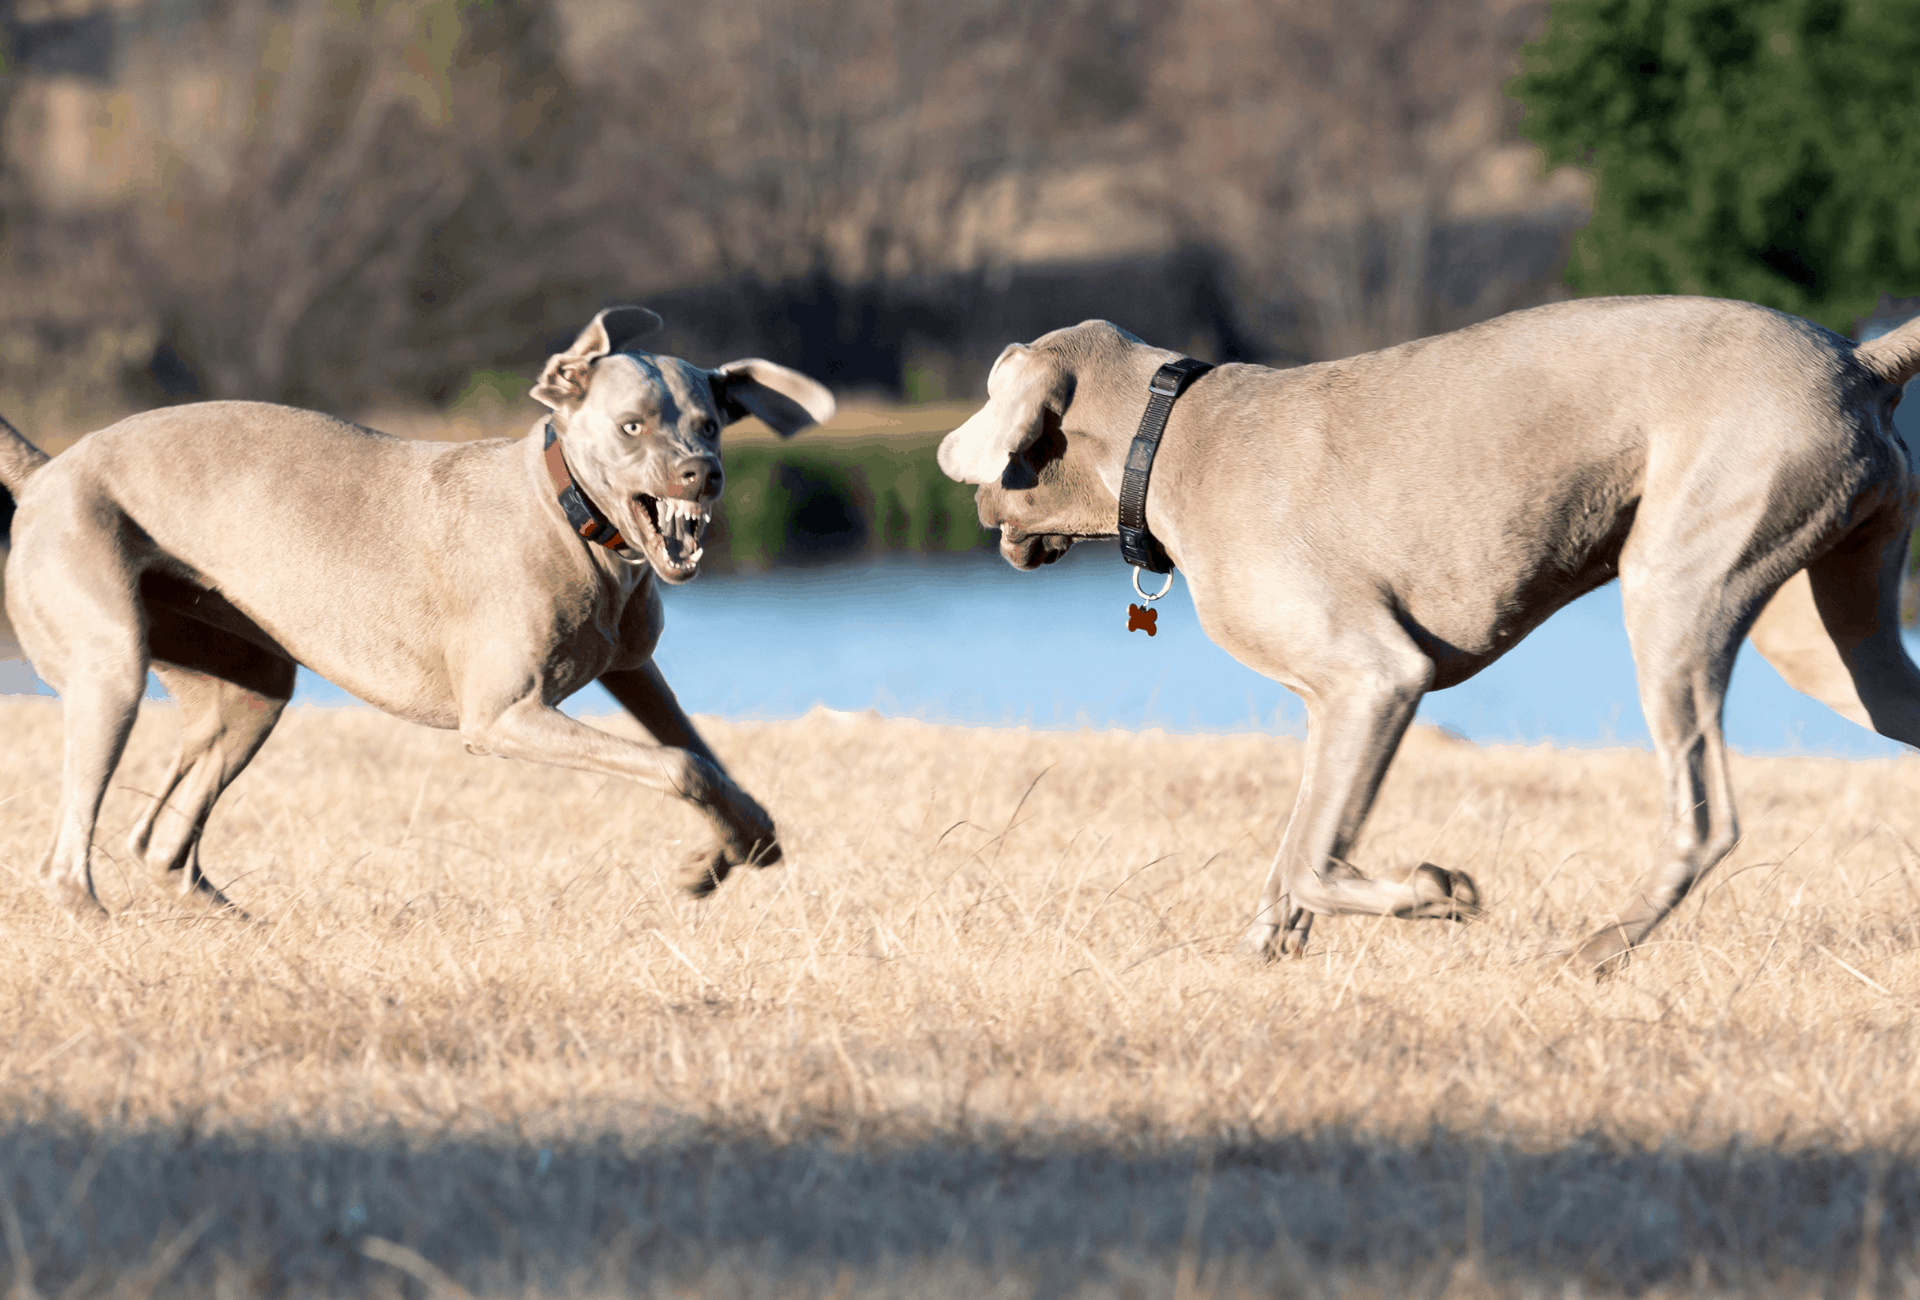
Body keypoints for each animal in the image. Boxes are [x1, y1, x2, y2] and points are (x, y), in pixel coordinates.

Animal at [5, 307, 833, 914]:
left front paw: (733, 848)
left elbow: (702, 755)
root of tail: (49, 470)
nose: (703, 474)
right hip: (112, 664)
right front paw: (708, 860)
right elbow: (677, 763)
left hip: (248, 687)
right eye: (633, 425)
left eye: (709, 424)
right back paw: (101, 921)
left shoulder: (631, 668)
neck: (569, 516)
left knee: (162, 841)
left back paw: (238, 925)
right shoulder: (503, 716)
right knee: (65, 861)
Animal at [940, 301, 1920, 975]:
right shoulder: (1330, 704)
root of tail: (1860, 361)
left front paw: (1435, 892)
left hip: (1678, 581)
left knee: (1705, 818)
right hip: (1831, 631)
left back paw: (1592, 952)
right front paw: (1259, 956)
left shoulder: (1378, 677)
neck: (1167, 435)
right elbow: (1297, 842)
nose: (979, 500)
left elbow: (1313, 861)